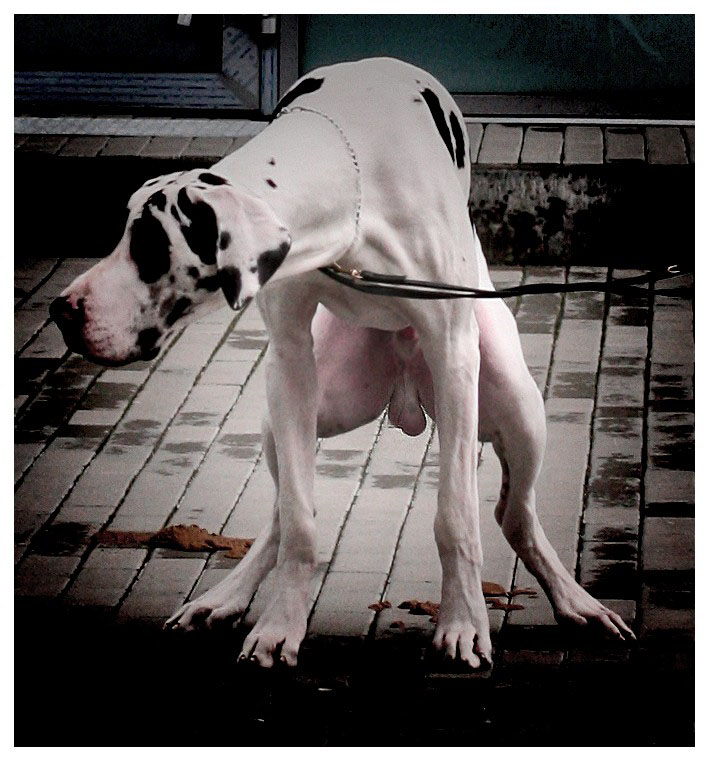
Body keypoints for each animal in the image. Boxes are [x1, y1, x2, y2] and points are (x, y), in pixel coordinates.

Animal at [50, 57, 634, 668]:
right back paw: (224, 597)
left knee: (513, 514)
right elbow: (298, 523)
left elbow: (456, 515)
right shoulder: (288, 355)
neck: (350, 197)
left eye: (150, 247)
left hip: (515, 400)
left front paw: (462, 621)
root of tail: (403, 389)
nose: (61, 311)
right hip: (287, 411)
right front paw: (280, 625)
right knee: (280, 516)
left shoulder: (453, 352)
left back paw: (574, 600)